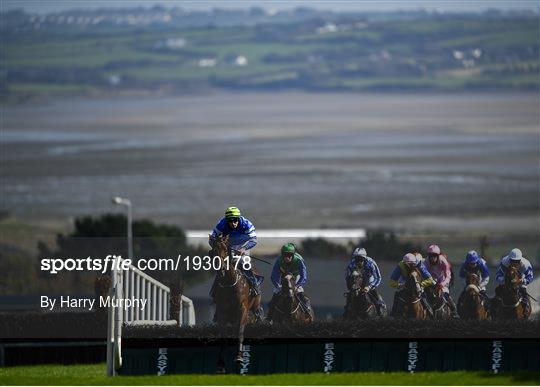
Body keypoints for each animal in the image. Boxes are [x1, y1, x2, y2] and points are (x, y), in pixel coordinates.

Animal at [209, 233, 264, 364]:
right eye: (213, 251)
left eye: (225, 249)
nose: (221, 269)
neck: (229, 282)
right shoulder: (222, 311)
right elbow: (223, 334)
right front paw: (221, 359)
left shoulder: (243, 309)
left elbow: (240, 331)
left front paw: (239, 356)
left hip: (254, 307)